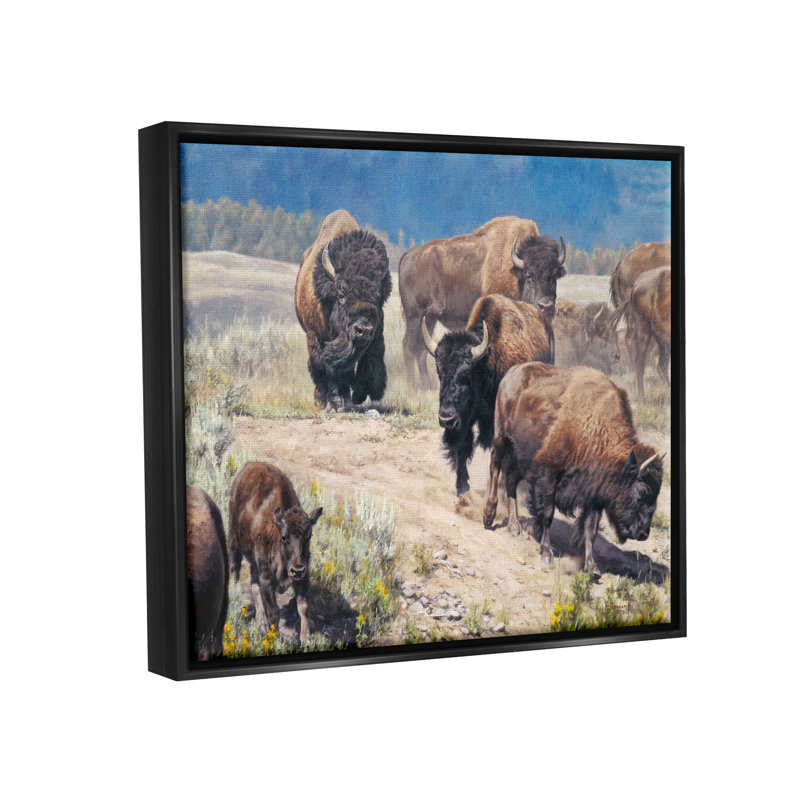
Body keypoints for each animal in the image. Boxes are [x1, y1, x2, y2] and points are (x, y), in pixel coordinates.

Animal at [229, 462, 323, 641]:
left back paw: (262, 623)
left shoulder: (303, 578)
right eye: (284, 537)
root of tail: (249, 465)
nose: (297, 569)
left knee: (254, 585)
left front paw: (305, 638)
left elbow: (303, 608)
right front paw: (274, 638)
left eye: (309, 536)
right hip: (234, 541)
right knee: (235, 568)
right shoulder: (267, 579)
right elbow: (274, 611)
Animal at [295, 210, 392, 410]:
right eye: (341, 293)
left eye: (379, 297)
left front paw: (356, 397)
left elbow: (369, 360)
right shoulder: (316, 336)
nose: (363, 329)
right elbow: (325, 367)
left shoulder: (375, 335)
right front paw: (332, 403)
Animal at [399, 216, 565, 386]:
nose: (546, 306)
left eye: (554, 276)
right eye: (529, 275)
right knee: (409, 346)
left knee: (420, 349)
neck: (514, 269)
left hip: (430, 317)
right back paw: (413, 384)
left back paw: (426, 384)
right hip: (415, 315)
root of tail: (408, 255)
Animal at [423, 293, 553, 496]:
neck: (487, 365)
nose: (446, 419)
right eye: (439, 372)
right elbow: (463, 447)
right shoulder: (466, 419)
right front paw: (462, 489)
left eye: (466, 373)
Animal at [483, 363, 663, 573]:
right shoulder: (548, 477)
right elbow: (547, 515)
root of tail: (513, 372)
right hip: (501, 437)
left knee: (510, 480)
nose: (643, 533)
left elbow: (591, 530)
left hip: (520, 455)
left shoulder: (594, 495)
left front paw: (591, 567)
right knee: (495, 468)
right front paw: (547, 553)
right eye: (643, 491)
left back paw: (514, 527)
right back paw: (488, 515)